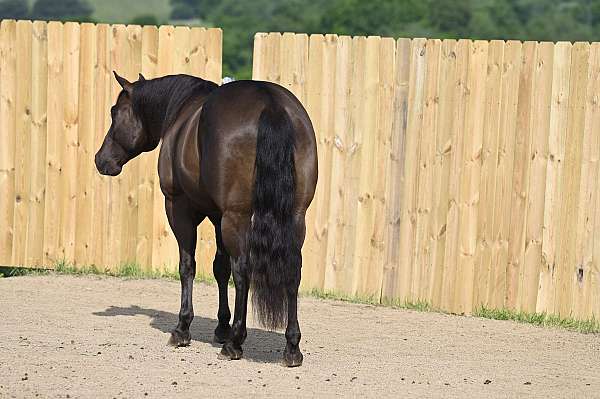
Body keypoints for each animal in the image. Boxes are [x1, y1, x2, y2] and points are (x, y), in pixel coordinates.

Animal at [94, 72, 318, 368]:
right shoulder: (216, 215)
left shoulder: (180, 209)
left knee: (243, 271)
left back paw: (235, 342)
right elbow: (220, 268)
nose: (101, 160)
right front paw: (221, 327)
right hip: (294, 217)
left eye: (114, 112)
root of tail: (271, 104)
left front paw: (183, 328)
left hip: (237, 217)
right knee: (292, 270)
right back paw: (291, 347)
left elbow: (188, 266)